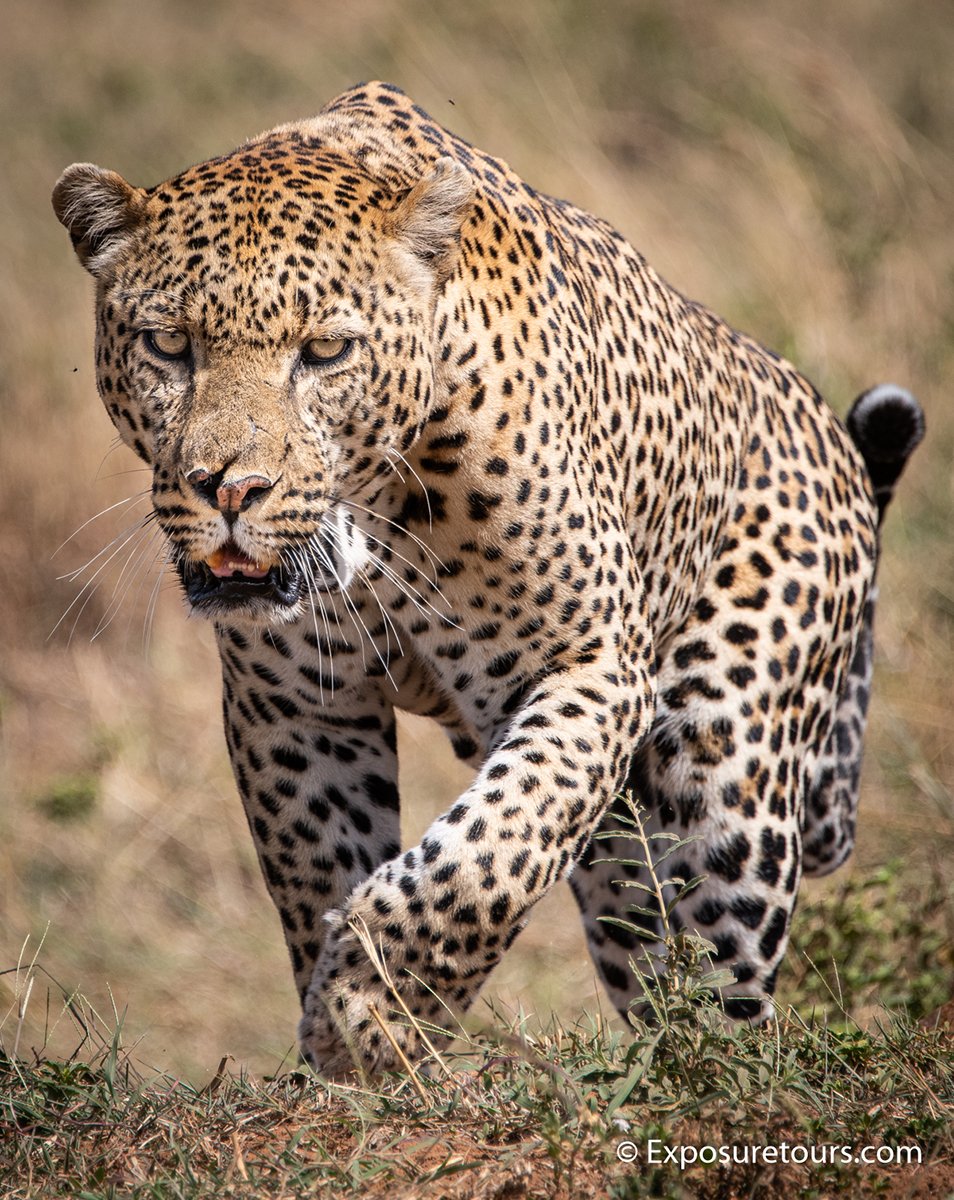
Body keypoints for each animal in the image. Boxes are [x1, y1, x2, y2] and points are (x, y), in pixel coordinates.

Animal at [53, 81, 924, 1077]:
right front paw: (346, 1050)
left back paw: (714, 1081)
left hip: (721, 775)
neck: (374, 522)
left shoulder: (591, 669)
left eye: (325, 352)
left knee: (723, 985)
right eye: (167, 345)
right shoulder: (296, 705)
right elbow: (323, 861)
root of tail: (828, 434)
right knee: (647, 956)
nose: (228, 488)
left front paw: (370, 1015)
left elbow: (489, 854)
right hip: (627, 849)